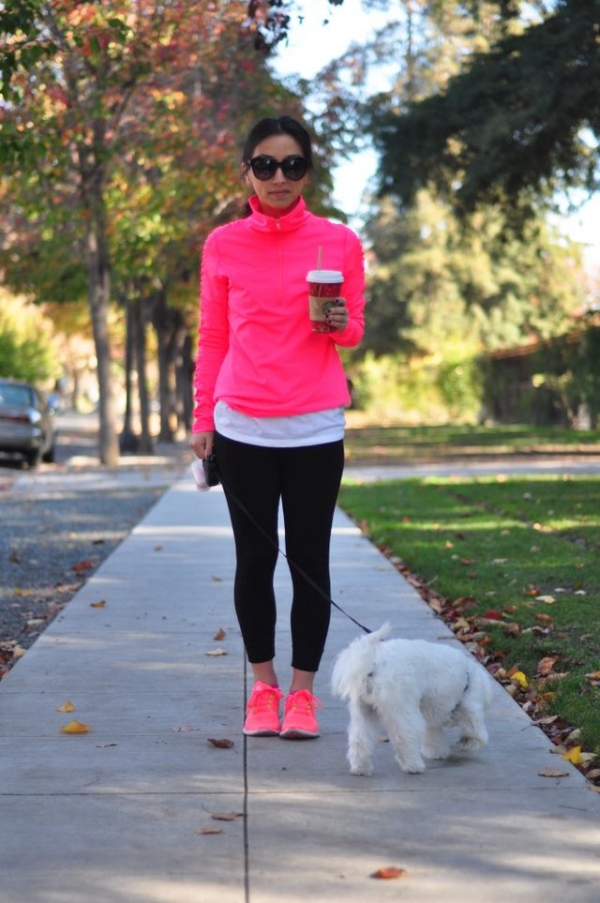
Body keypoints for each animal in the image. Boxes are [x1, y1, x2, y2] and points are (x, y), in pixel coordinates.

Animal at [332, 620, 492, 776]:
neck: (471, 678)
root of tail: (374, 665)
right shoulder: (470, 705)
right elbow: (476, 731)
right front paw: (468, 742)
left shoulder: (432, 712)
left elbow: (433, 734)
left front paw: (436, 752)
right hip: (401, 708)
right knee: (403, 737)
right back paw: (413, 765)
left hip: (364, 710)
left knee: (359, 738)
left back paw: (361, 768)